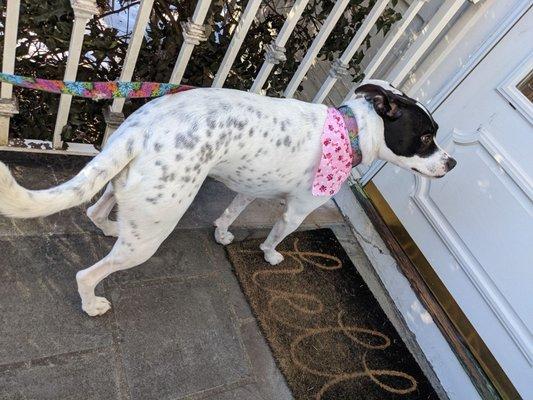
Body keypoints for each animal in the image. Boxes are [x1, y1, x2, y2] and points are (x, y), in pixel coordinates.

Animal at [0, 79, 458, 316]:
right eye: (425, 138)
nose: (452, 163)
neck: (352, 130)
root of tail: (140, 129)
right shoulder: (296, 211)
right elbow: (275, 237)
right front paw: (271, 255)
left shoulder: (249, 187)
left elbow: (232, 212)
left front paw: (222, 234)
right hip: (150, 234)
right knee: (88, 273)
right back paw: (92, 303)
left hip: (122, 186)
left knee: (97, 211)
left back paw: (112, 226)